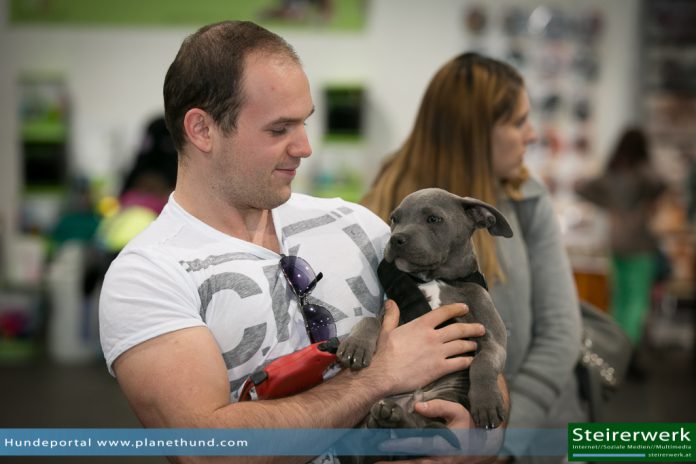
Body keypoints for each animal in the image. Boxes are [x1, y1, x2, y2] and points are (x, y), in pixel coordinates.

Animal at [338, 188, 512, 438]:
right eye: (394, 219)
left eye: (433, 219)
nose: (395, 239)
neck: (434, 278)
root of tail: (412, 400)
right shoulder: (391, 312)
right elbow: (370, 319)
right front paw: (356, 346)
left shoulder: (494, 338)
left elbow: (484, 361)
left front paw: (487, 402)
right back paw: (386, 418)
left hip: (448, 394)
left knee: (425, 425)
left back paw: (392, 417)